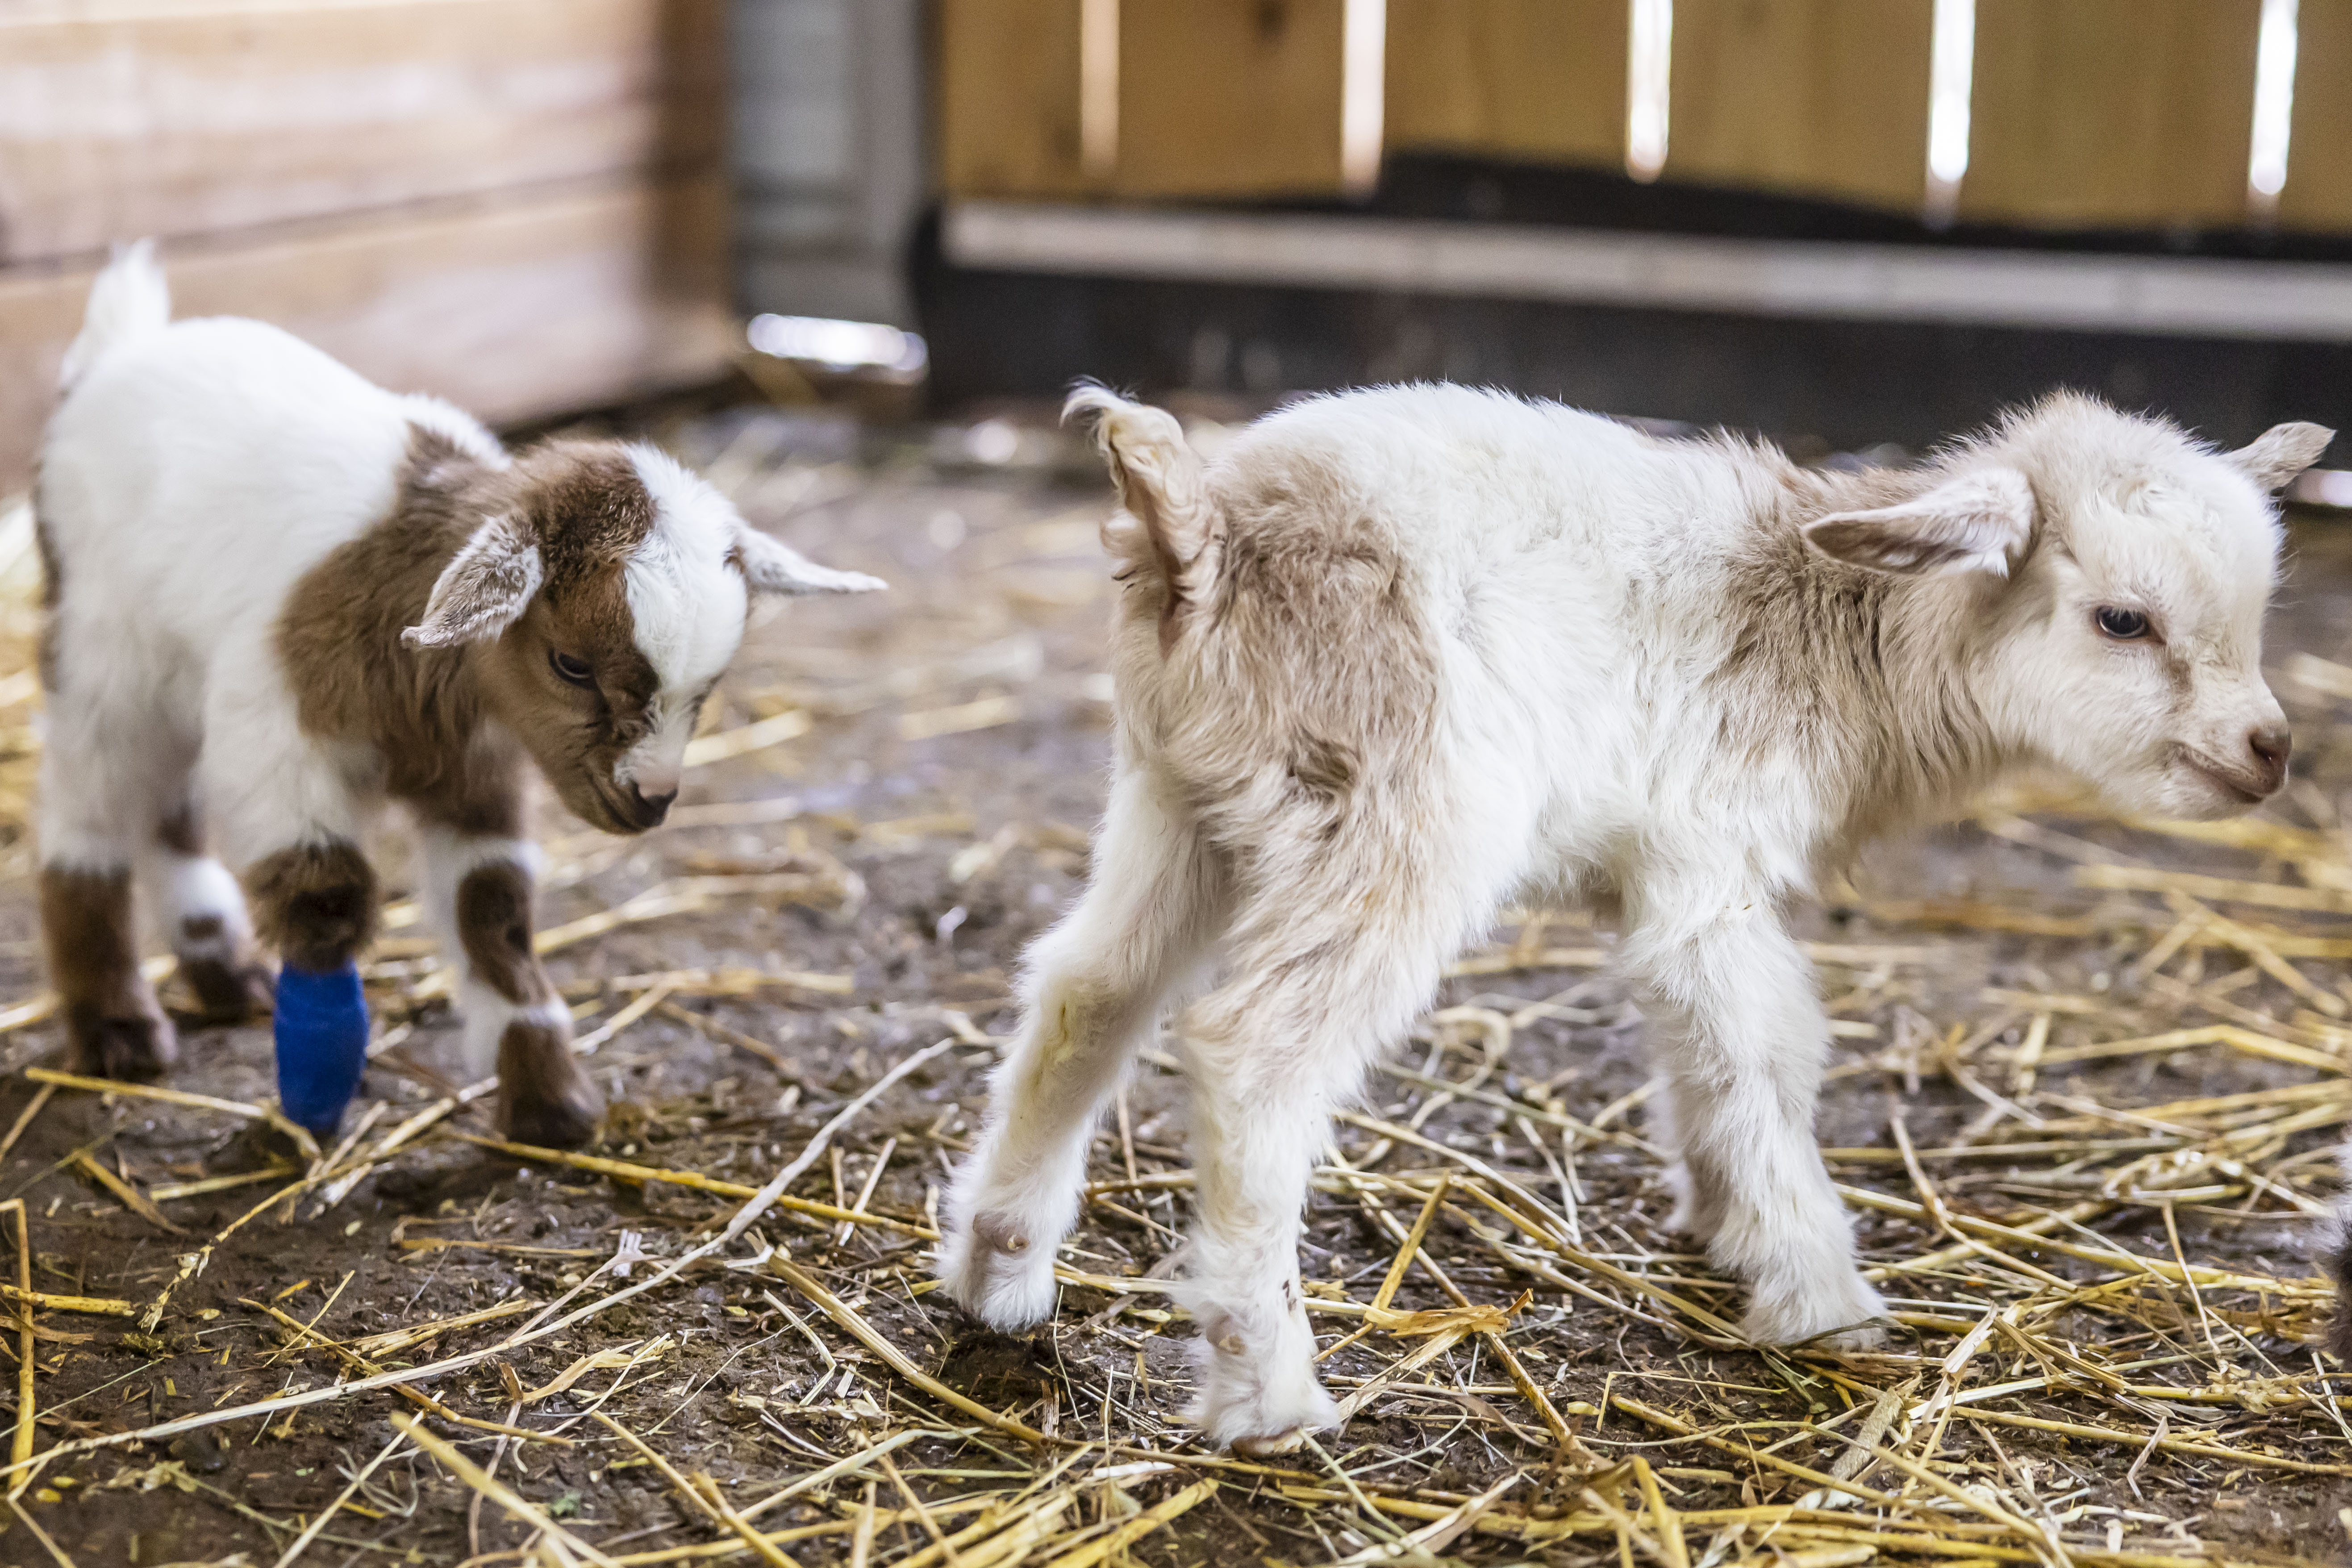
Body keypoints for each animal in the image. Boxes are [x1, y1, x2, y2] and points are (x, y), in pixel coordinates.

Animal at [34, 243, 881, 1146]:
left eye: (711, 688)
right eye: (570, 664)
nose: (651, 799)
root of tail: (120, 347)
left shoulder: (476, 763)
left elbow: (494, 909)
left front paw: (551, 1101)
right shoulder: (277, 730)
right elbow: (325, 901)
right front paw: (316, 1088)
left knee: (171, 807)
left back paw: (224, 972)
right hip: (100, 651)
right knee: (90, 810)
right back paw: (117, 1029)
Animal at [940, 381, 2327, 1453]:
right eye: (2121, 620)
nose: (2267, 751)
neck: (1836, 627)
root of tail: (1202, 529)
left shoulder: (1663, 877)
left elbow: (1703, 1055)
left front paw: (1717, 1219)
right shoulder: (1707, 869)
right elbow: (1768, 1052)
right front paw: (1817, 1293)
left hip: (1182, 795)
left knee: (1087, 986)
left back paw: (1000, 1272)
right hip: (1401, 812)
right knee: (1249, 1054)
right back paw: (1267, 1392)